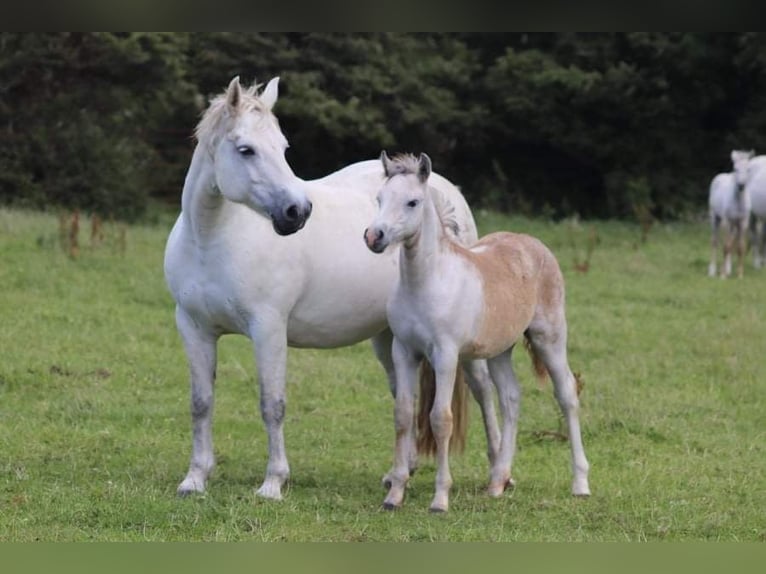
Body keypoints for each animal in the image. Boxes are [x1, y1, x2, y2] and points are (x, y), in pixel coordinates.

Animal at [164, 77, 504, 504]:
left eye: (283, 147)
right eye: (246, 149)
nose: (297, 212)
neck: (211, 239)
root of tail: (444, 191)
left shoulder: (268, 329)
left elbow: (272, 404)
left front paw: (273, 483)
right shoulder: (193, 328)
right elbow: (201, 403)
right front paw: (195, 478)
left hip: (462, 346)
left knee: (484, 391)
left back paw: (498, 475)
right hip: (389, 337)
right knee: (404, 396)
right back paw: (401, 474)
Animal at [364, 152, 592, 512]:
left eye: (413, 202)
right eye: (379, 199)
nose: (375, 237)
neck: (427, 282)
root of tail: (533, 243)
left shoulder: (445, 355)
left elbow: (440, 419)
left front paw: (440, 499)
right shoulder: (404, 351)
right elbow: (403, 415)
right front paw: (394, 494)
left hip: (550, 337)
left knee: (567, 394)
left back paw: (580, 483)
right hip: (500, 350)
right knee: (511, 398)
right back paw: (498, 481)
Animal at [712, 152, 752, 280]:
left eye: (748, 169)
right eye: (735, 169)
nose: (741, 186)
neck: (738, 201)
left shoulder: (743, 223)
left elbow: (740, 247)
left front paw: (739, 275)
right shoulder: (727, 222)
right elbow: (726, 247)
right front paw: (723, 276)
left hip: (734, 225)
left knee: (731, 241)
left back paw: (728, 270)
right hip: (715, 218)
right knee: (714, 241)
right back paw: (712, 271)